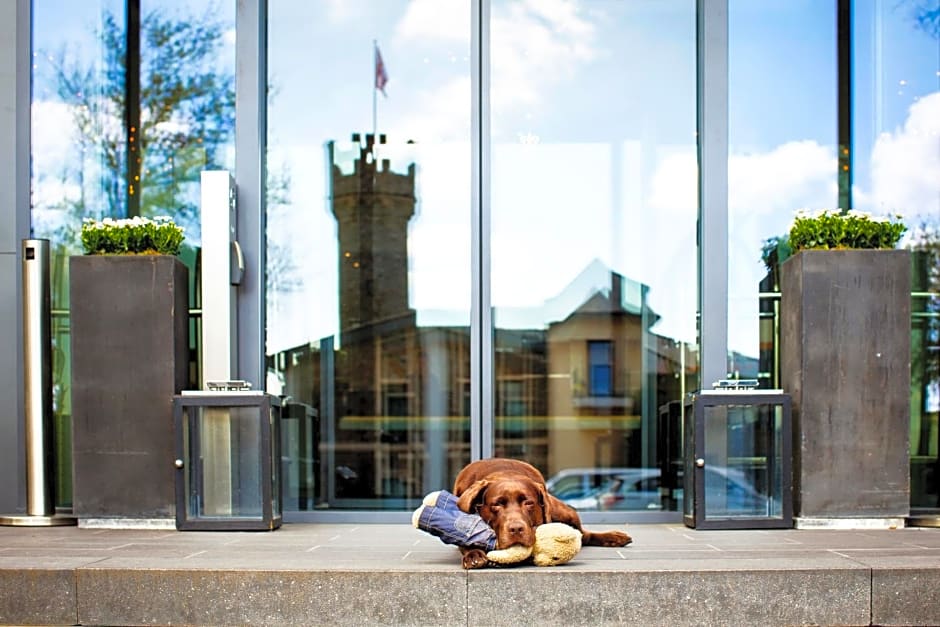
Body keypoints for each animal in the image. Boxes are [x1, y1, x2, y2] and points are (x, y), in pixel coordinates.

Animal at [454, 456, 632, 568]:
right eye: (497, 504)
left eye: (528, 503)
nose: (516, 529)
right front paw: (474, 555)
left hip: (563, 511)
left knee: (583, 535)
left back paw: (615, 538)